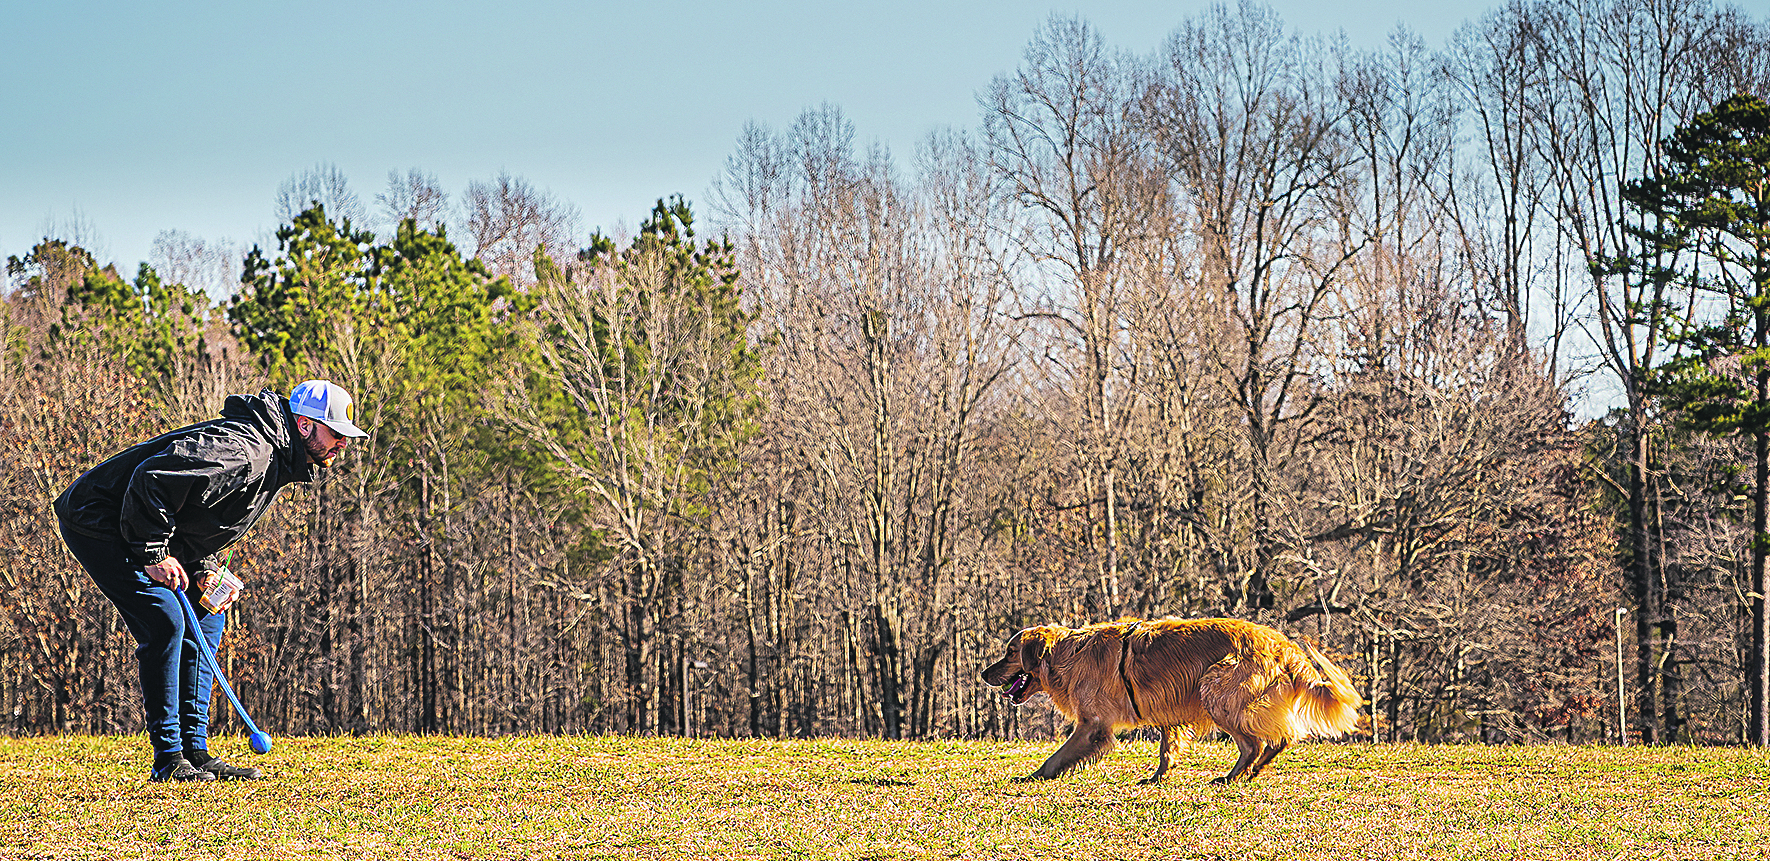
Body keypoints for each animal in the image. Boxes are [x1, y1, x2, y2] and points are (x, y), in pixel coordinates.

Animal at [984, 616, 1352, 783]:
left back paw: (1233, 776)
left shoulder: (1092, 726)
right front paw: (1157, 778)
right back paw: (1252, 772)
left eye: (1010, 653)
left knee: (1258, 742)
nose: (984, 674)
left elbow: (1056, 757)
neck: (1067, 655)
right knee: (1281, 739)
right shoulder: (1166, 712)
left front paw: (1032, 776)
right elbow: (1167, 749)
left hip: (1214, 688)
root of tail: (1282, 643)